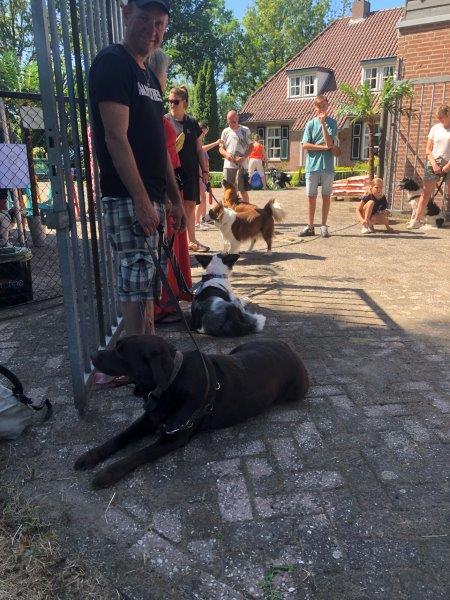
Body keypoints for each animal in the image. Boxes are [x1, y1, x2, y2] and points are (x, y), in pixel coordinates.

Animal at [74, 336, 310, 490]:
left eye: (121, 353)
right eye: (116, 347)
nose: (92, 355)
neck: (170, 383)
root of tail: (290, 348)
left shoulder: (173, 436)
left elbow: (137, 455)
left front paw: (107, 473)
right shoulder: (148, 419)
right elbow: (120, 437)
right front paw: (90, 456)